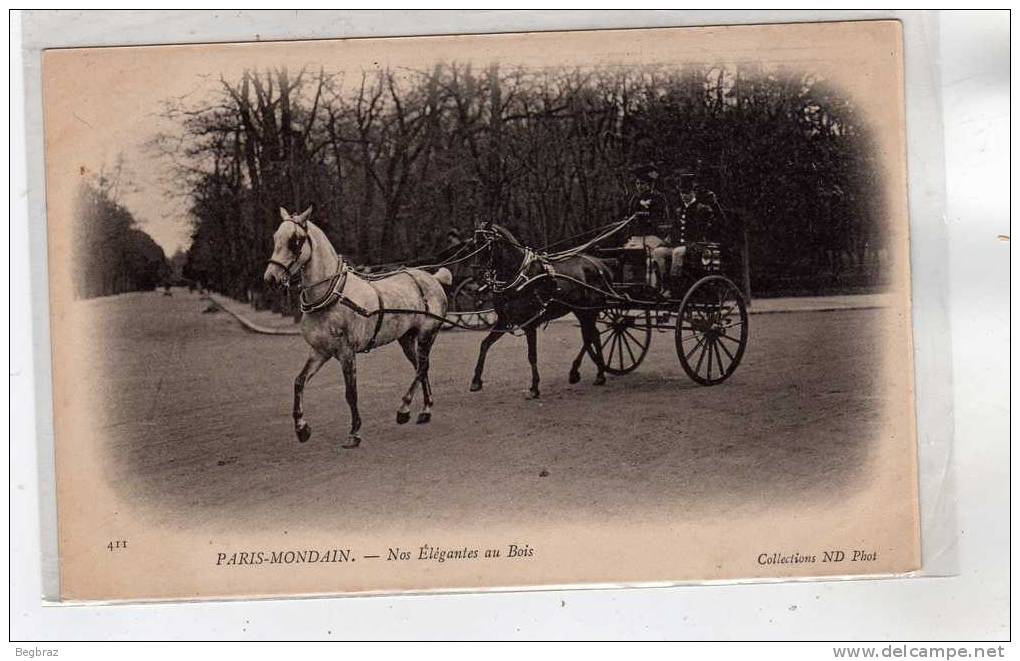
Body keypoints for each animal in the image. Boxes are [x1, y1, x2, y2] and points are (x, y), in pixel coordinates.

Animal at [265, 208, 452, 448]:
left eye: (295, 241)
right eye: (275, 238)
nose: (270, 278)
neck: (334, 295)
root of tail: (432, 277)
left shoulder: (347, 353)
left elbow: (350, 393)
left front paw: (354, 432)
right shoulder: (319, 352)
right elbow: (299, 382)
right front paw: (302, 428)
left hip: (427, 334)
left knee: (422, 367)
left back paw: (404, 409)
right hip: (407, 339)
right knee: (421, 367)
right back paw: (425, 409)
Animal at [469, 224, 612, 397]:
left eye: (487, 245)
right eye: (474, 243)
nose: (476, 276)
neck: (521, 276)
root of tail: (599, 264)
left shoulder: (529, 324)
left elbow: (532, 356)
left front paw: (534, 388)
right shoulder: (504, 321)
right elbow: (485, 344)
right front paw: (476, 381)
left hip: (590, 310)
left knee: (591, 336)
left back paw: (594, 373)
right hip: (581, 310)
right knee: (592, 336)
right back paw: (591, 373)